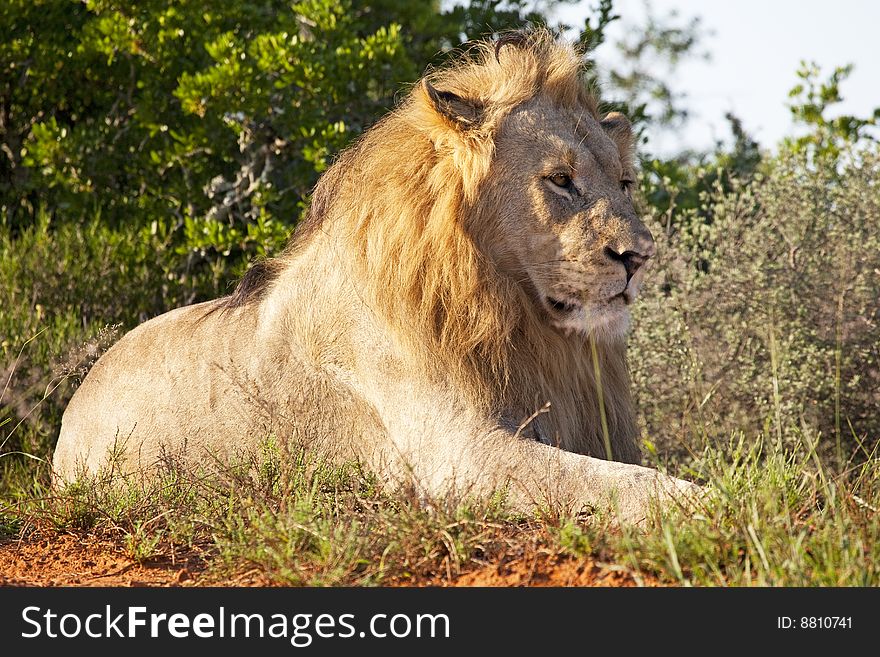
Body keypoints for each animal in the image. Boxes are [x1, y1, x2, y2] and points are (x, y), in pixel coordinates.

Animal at [56, 29, 700, 524]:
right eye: (561, 180)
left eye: (625, 184)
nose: (640, 255)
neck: (518, 319)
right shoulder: (458, 454)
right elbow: (621, 484)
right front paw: (706, 504)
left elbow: (624, 474)